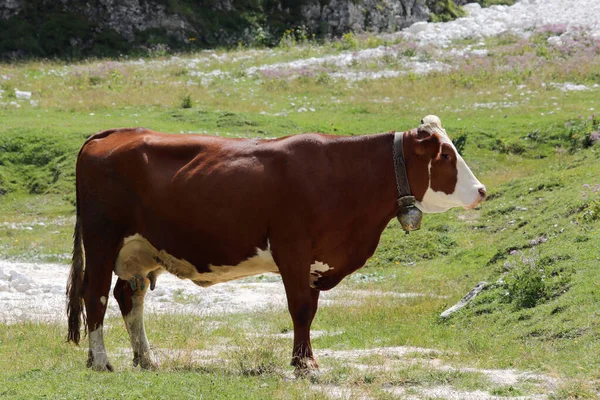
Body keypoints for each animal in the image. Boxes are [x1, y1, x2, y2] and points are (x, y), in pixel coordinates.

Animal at [67, 115, 488, 372]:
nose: (482, 190)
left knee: (129, 296)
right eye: (445, 154)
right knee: (95, 295)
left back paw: (146, 359)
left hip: (141, 250)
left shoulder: (316, 260)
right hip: (102, 239)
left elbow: (310, 311)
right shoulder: (293, 250)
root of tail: (113, 133)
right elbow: (299, 309)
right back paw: (100, 361)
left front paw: (305, 360)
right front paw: (305, 366)